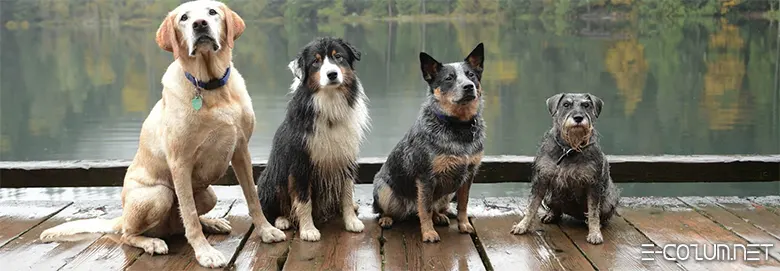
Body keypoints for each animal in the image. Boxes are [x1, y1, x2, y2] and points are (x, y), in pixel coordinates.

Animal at [254, 36, 368, 242]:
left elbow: (346, 194)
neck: (330, 103)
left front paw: (351, 221)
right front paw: (308, 230)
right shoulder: (300, 163)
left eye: (338, 57)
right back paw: (282, 220)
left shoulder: (345, 157)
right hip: (273, 177)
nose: (332, 74)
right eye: (316, 62)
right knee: (271, 208)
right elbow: (303, 199)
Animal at [512, 92, 620, 245]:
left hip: (608, 203)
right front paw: (522, 225)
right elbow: (532, 205)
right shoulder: (541, 179)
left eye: (586, 105)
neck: (569, 149)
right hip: (550, 197)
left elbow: (593, 211)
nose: (578, 117)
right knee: (557, 209)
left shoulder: (593, 184)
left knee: (596, 215)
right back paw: (550, 215)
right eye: (566, 104)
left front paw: (594, 233)